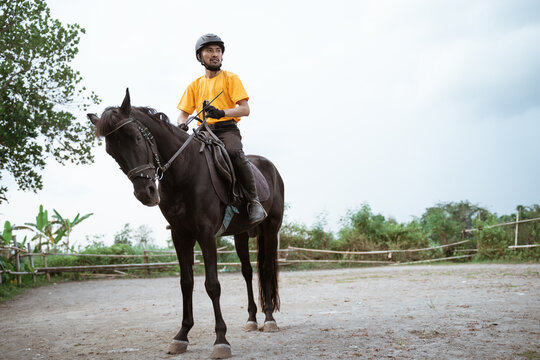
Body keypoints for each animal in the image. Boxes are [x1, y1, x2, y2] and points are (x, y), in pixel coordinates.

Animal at [87, 89, 282, 358]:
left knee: (266, 269)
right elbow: (186, 283)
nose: (146, 193)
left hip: (272, 228)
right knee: (248, 271)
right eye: (111, 152)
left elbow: (212, 285)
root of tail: (270, 167)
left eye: (136, 138)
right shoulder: (180, 235)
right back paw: (252, 319)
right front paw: (181, 336)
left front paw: (221, 340)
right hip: (241, 234)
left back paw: (270, 319)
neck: (185, 171)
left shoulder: (206, 234)